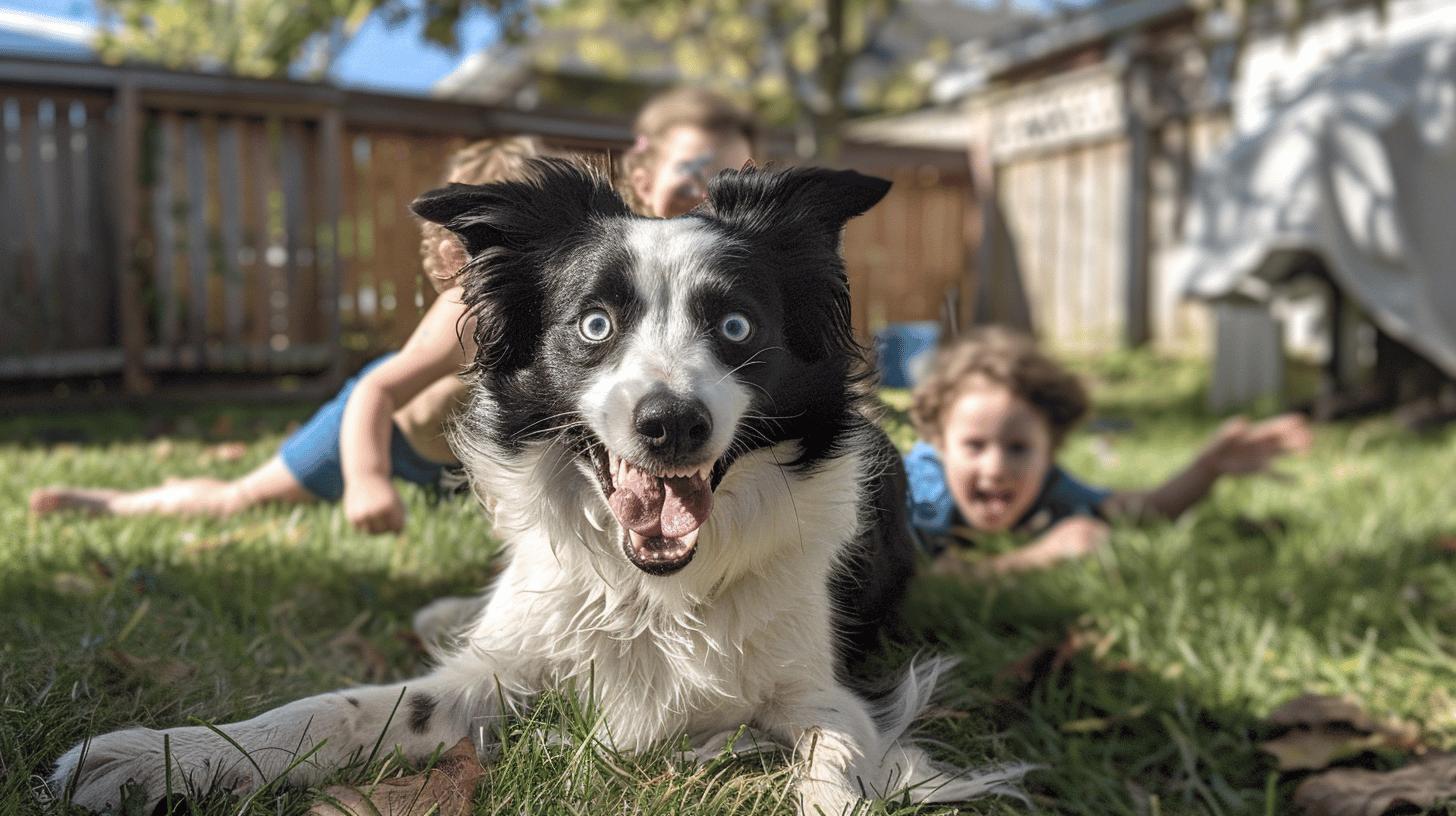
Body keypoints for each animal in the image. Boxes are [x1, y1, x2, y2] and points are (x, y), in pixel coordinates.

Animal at [48, 161, 1025, 816]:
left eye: (737, 327)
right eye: (594, 325)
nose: (672, 424)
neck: (654, 592)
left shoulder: (828, 698)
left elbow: (831, 766)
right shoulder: (501, 674)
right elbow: (343, 708)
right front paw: (165, 754)